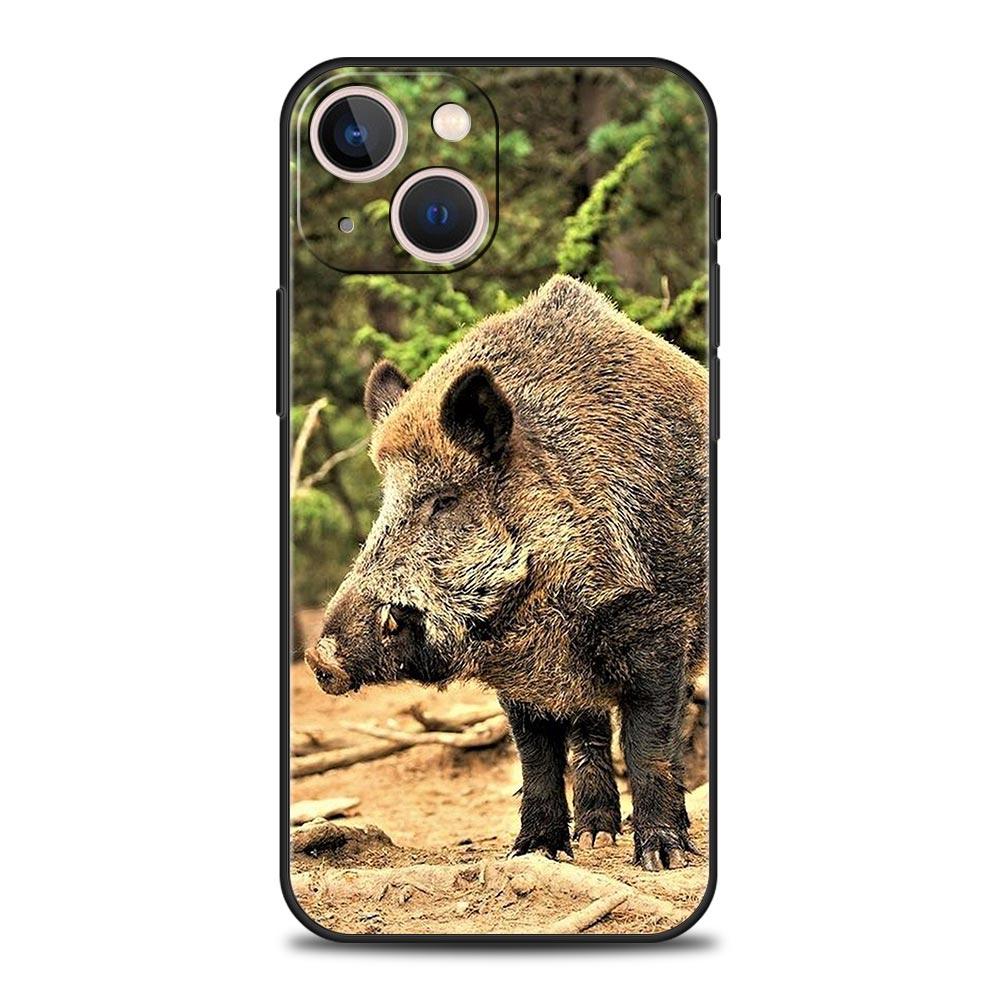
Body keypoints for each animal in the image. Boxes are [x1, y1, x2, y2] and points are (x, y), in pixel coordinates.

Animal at [304, 275, 708, 871]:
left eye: (445, 500)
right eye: (385, 499)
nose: (319, 657)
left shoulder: (658, 627)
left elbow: (648, 744)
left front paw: (664, 859)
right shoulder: (519, 680)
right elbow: (535, 756)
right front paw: (534, 854)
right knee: (587, 729)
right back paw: (596, 838)